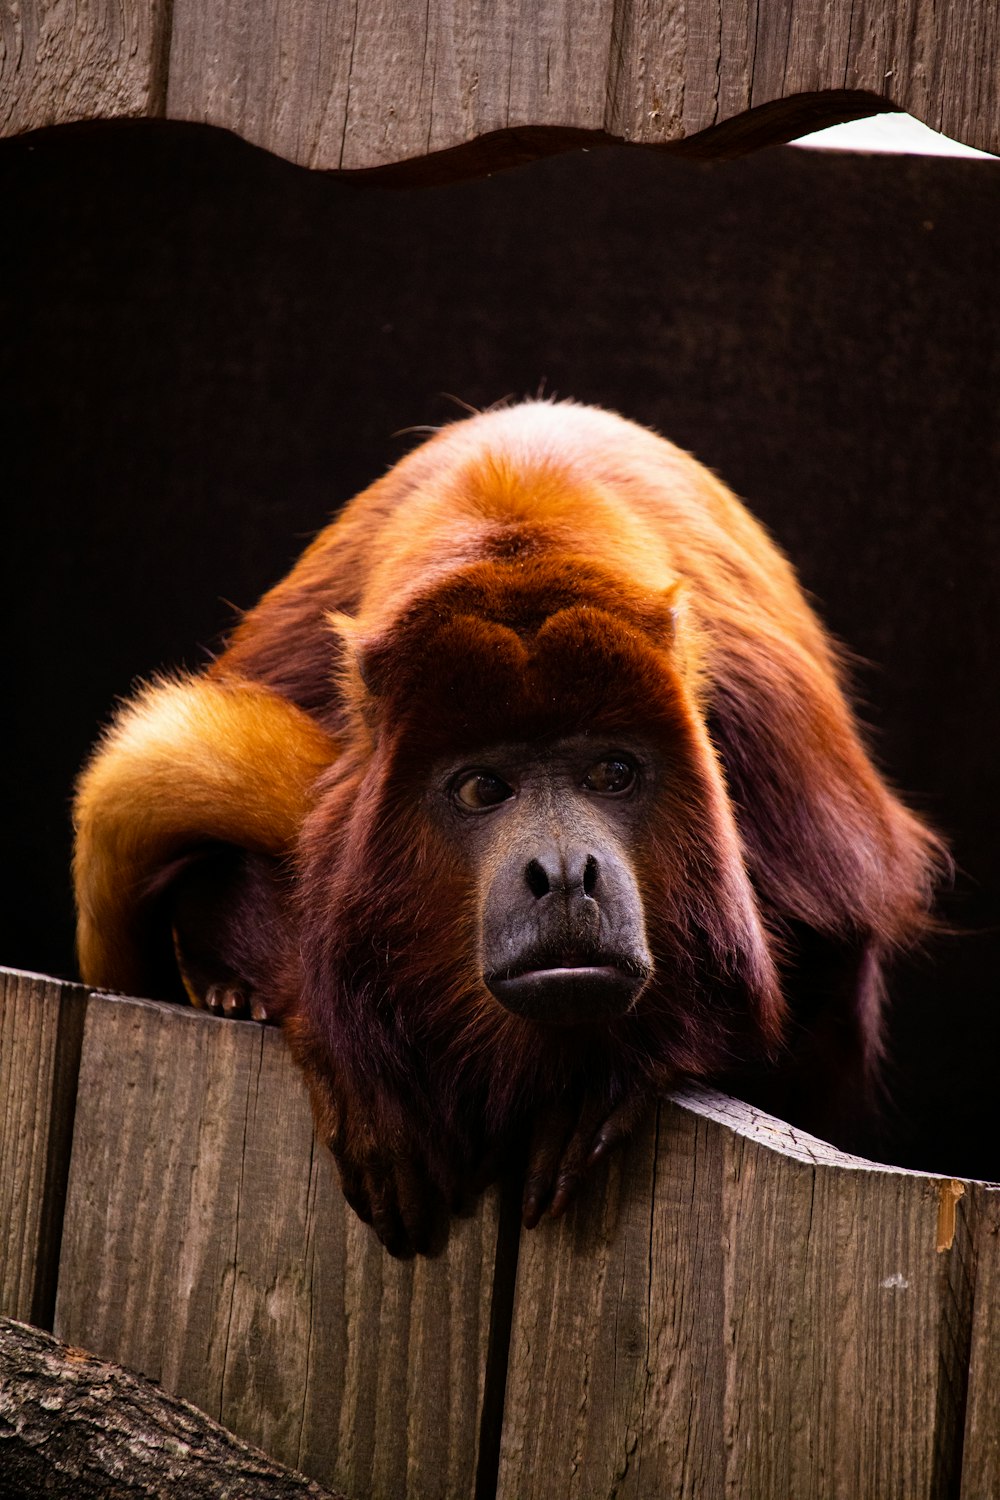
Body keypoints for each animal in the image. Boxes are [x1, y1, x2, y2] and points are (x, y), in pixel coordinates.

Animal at [74, 399, 941, 1254]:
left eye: (612, 774)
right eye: (483, 787)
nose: (562, 872)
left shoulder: (760, 707)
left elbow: (822, 931)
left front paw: (609, 1073)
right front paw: (346, 1062)